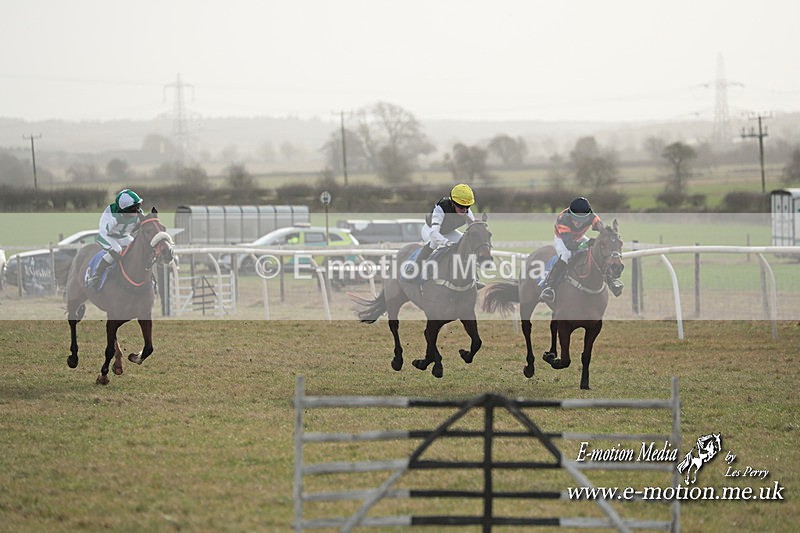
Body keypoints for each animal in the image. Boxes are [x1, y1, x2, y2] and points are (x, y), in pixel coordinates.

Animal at [64, 208, 175, 385]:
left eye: (163, 228)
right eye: (148, 231)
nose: (167, 252)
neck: (134, 279)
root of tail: (81, 251)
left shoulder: (143, 314)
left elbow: (149, 347)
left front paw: (134, 356)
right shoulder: (114, 314)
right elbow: (109, 347)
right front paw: (103, 374)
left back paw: (118, 363)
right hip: (75, 298)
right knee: (73, 320)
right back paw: (74, 358)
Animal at [352, 215, 494, 378]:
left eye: (489, 234)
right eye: (472, 235)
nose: (485, 258)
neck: (456, 279)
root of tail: (400, 251)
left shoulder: (466, 313)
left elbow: (476, 342)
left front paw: (463, 354)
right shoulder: (434, 315)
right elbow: (430, 339)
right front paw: (431, 365)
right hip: (394, 299)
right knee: (394, 326)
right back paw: (397, 360)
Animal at [482, 220, 623, 389]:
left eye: (620, 244)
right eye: (602, 244)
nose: (617, 267)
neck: (587, 286)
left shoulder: (594, 326)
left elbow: (586, 355)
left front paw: (584, 383)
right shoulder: (565, 324)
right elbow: (566, 359)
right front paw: (551, 359)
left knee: (552, 325)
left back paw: (552, 352)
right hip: (527, 302)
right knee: (527, 328)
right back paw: (530, 367)